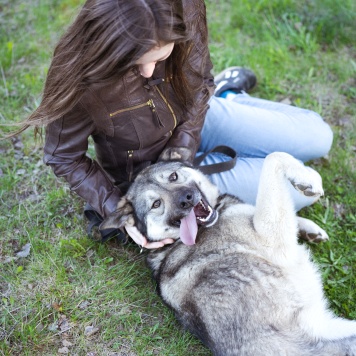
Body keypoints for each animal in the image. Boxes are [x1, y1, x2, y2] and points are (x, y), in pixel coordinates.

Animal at [101, 152, 356, 354]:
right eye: (156, 204)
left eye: (173, 177)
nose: (186, 199)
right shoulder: (273, 237)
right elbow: (274, 158)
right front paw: (308, 179)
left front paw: (311, 229)